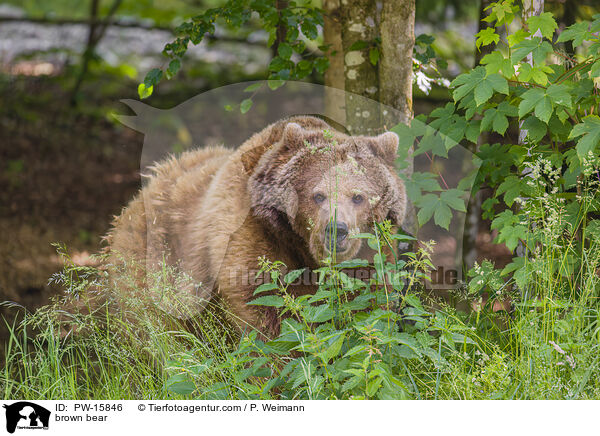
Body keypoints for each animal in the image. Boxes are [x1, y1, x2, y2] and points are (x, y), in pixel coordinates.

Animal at [106, 116, 408, 338]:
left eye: (358, 196)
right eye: (318, 195)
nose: (337, 230)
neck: (302, 247)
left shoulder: (373, 253)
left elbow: (367, 302)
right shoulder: (254, 237)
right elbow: (267, 307)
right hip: (155, 259)